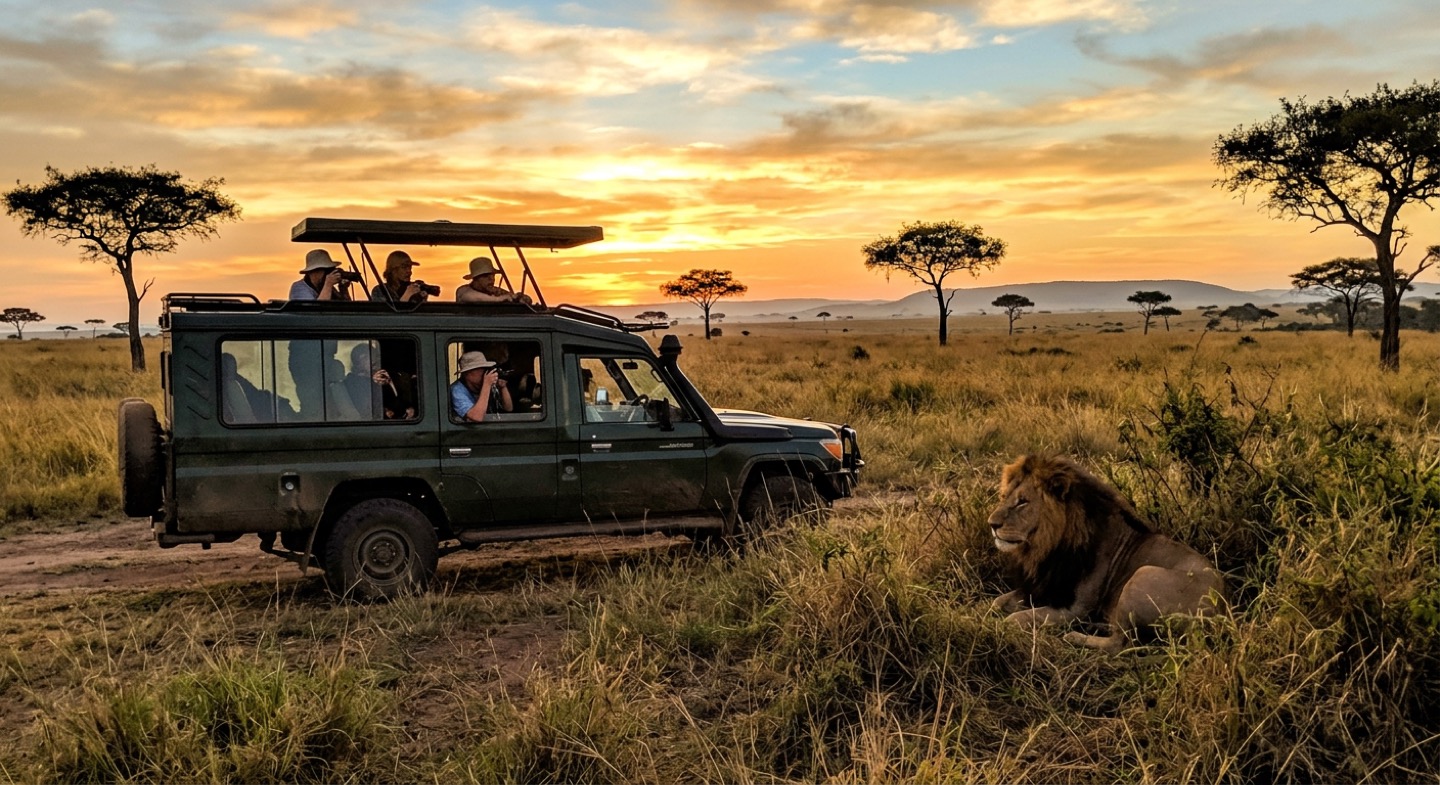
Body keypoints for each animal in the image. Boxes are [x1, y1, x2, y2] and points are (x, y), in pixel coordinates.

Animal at [987, 454, 1224, 652]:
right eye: (1004, 496)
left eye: (1023, 501)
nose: (992, 524)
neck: (1049, 547)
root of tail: (1221, 611)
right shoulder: (1043, 588)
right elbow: (996, 603)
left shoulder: (1076, 609)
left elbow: (1017, 618)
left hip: (1142, 574)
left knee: (1120, 644)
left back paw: (1076, 636)